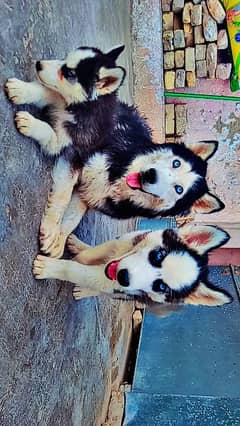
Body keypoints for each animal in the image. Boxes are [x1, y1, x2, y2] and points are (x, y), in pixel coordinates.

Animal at [6, 46, 225, 260]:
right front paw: (53, 229)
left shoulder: (90, 192)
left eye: (179, 189)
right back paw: (22, 92)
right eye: (176, 162)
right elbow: (62, 195)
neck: (119, 175)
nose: (150, 175)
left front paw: (57, 238)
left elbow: (73, 216)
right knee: (54, 99)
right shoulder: (79, 156)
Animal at [32, 225, 232, 308]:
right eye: (158, 255)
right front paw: (81, 254)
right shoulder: (124, 241)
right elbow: (96, 252)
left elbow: (79, 271)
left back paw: (84, 291)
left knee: (106, 292)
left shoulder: (110, 281)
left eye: (161, 287)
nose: (123, 276)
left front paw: (49, 268)